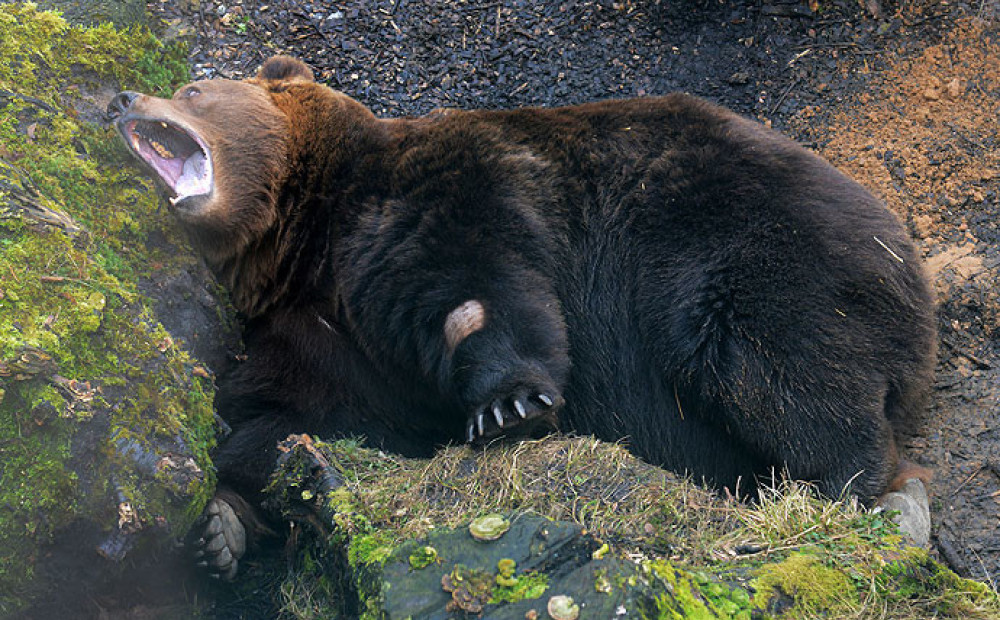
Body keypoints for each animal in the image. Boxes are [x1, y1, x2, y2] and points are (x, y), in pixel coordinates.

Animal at [109, 55, 936, 580]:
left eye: (191, 87)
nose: (121, 99)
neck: (304, 235)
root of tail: (908, 258)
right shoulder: (314, 339)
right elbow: (293, 417)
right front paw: (224, 513)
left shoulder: (439, 198)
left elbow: (478, 288)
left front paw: (509, 404)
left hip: (755, 251)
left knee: (779, 364)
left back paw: (838, 490)